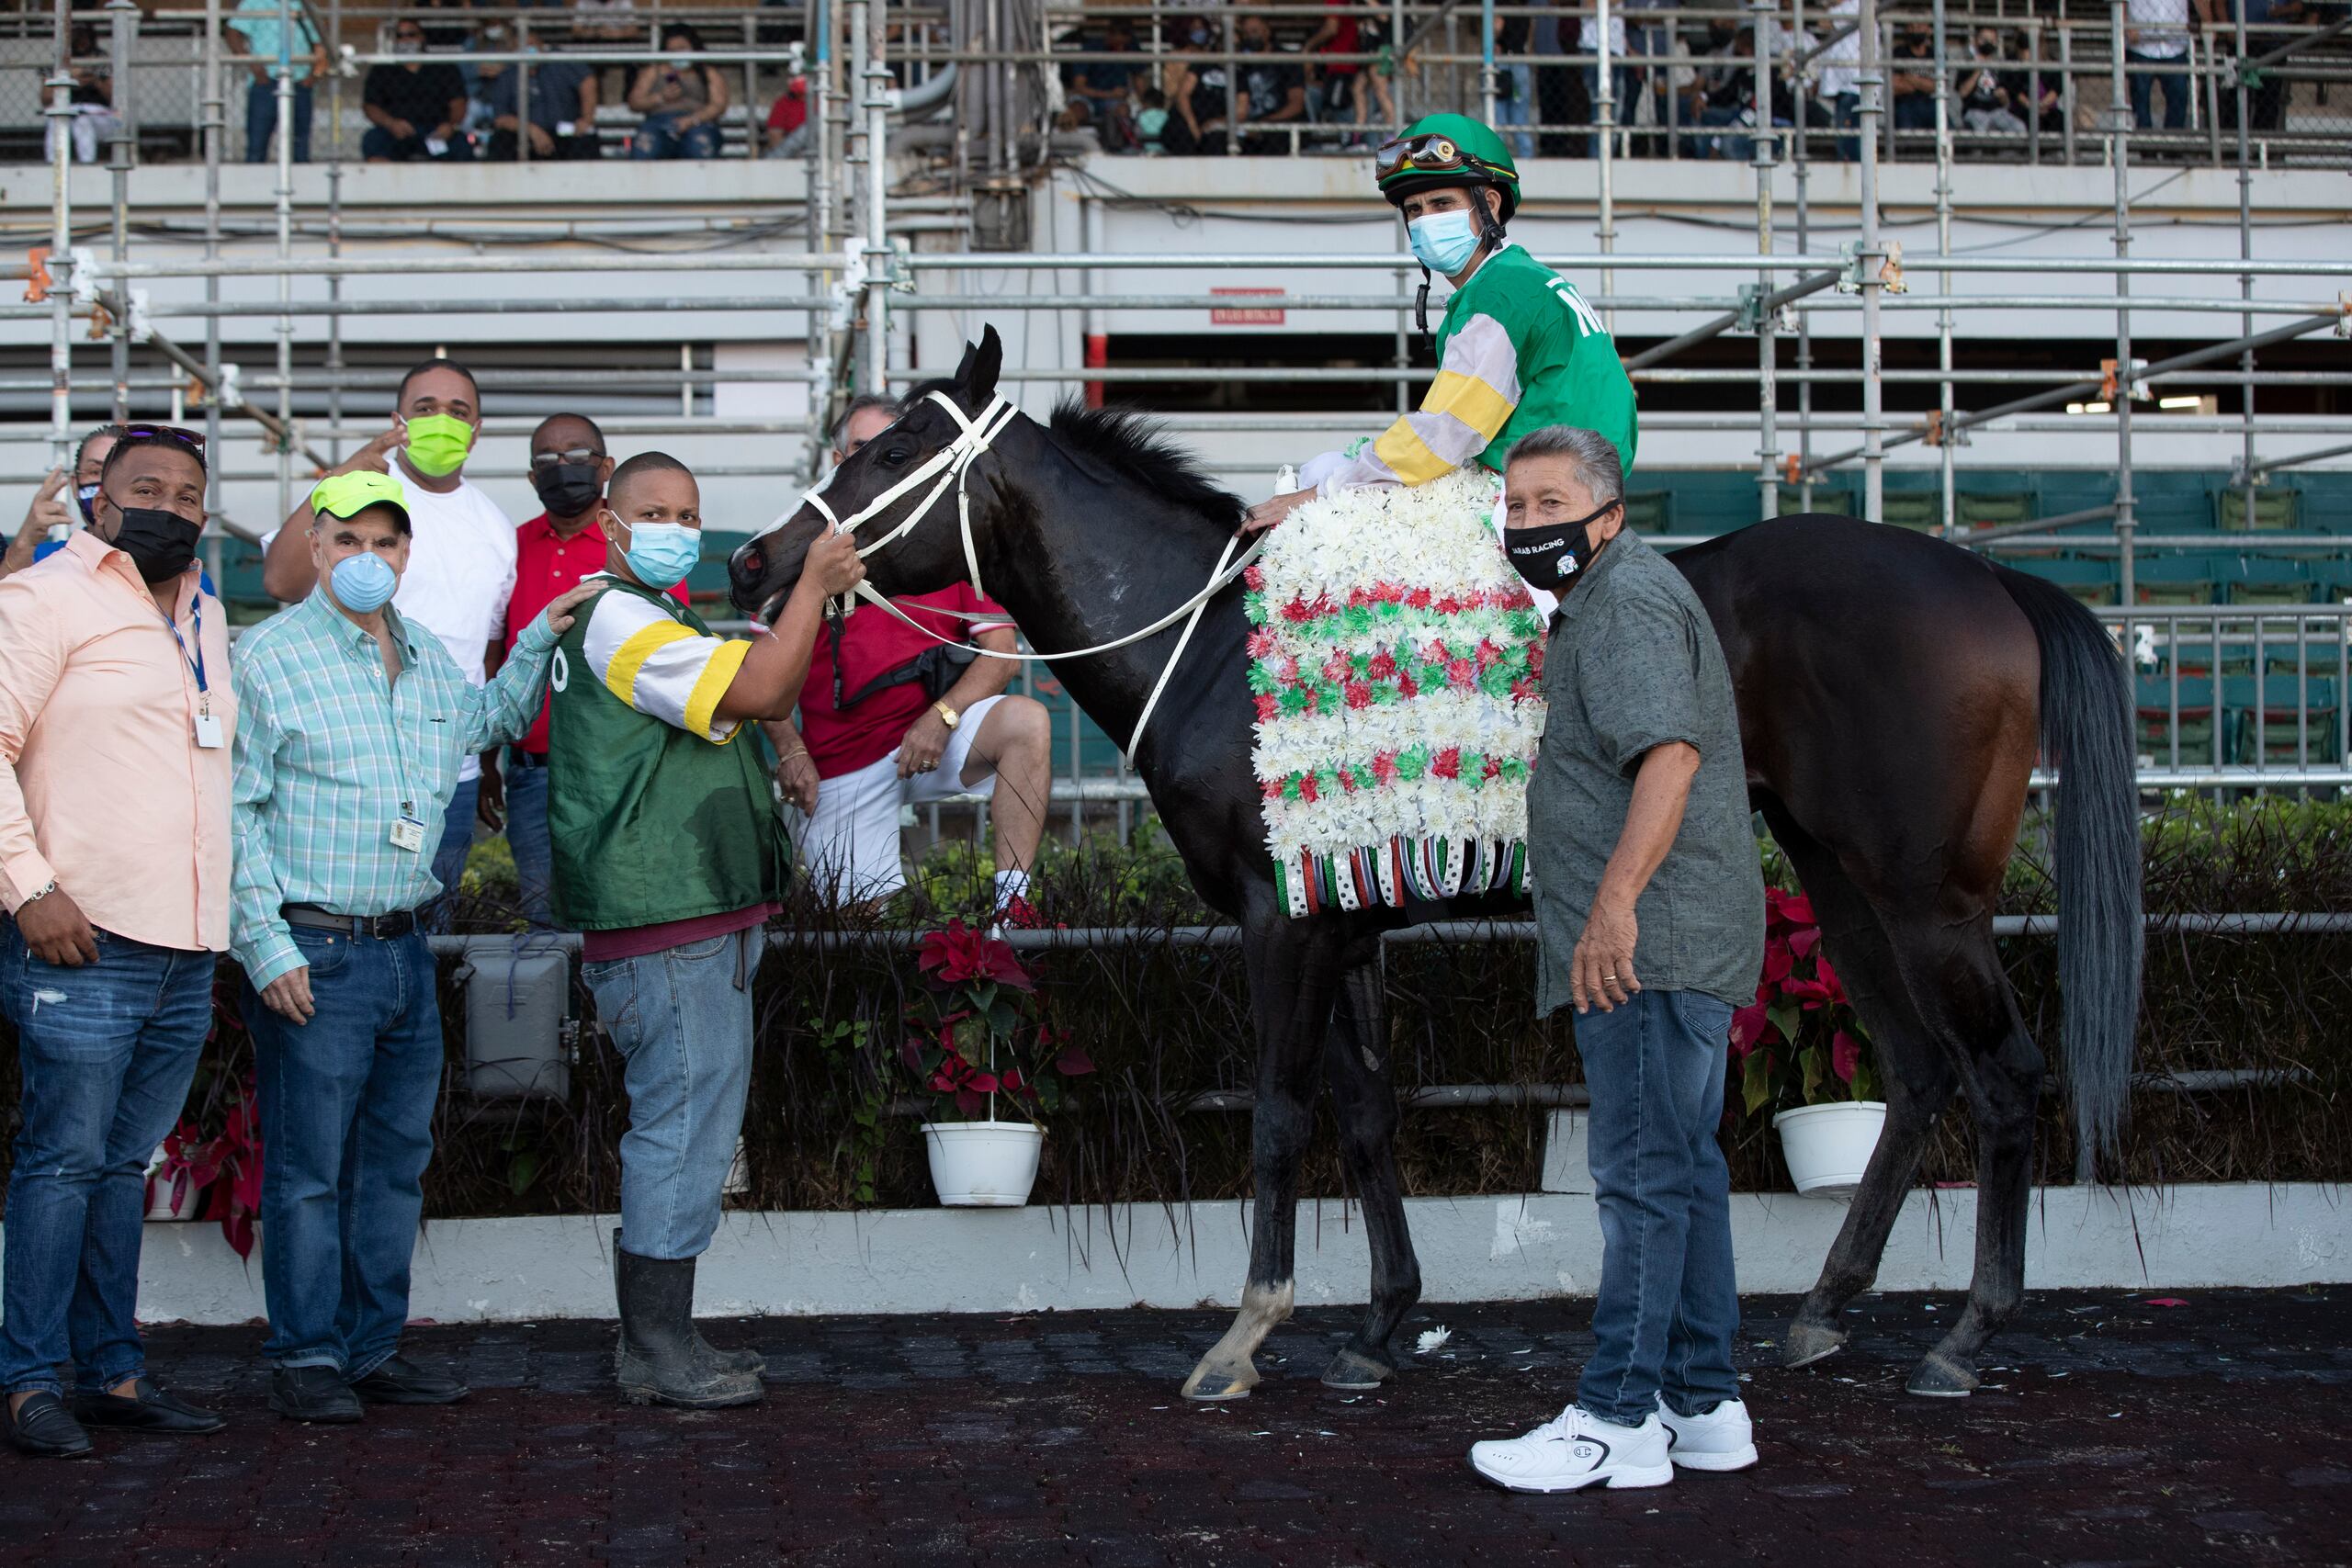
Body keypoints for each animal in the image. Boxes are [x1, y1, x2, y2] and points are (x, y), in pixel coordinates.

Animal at [738, 329, 2154, 1401]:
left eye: (890, 450)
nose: (759, 558)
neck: (1214, 649)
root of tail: (1989, 579)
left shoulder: (1278, 924)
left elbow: (1280, 1113)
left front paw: (1246, 1331)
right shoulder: (1340, 922)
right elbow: (1367, 1115)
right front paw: (1379, 1323)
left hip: (1928, 897)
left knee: (2005, 1076)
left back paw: (1966, 1333)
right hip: (1842, 881)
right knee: (1918, 1073)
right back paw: (1826, 1305)